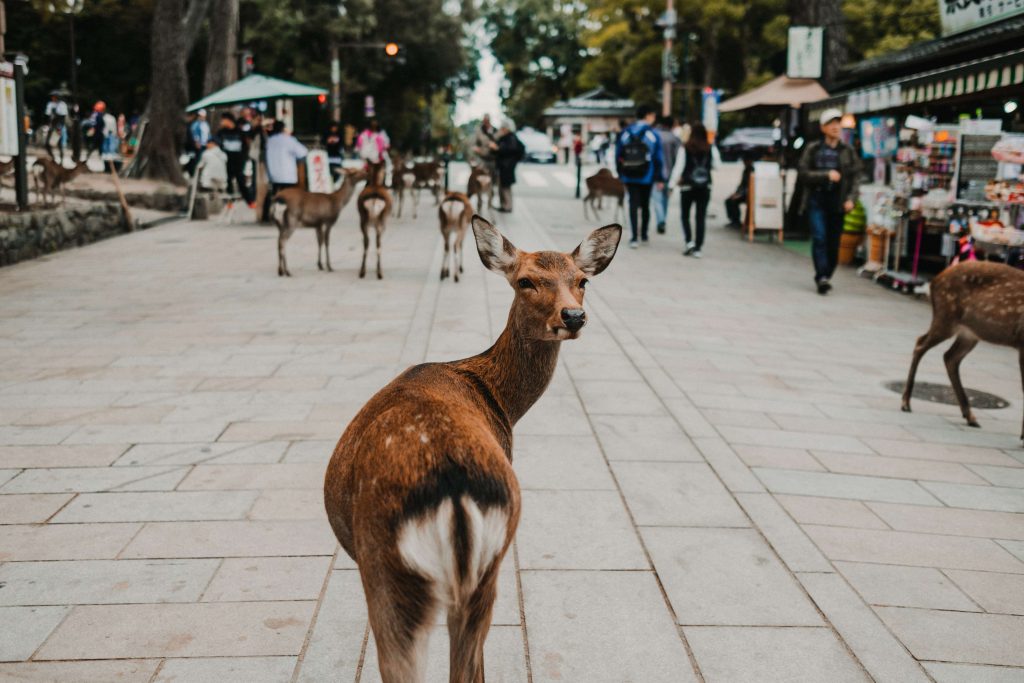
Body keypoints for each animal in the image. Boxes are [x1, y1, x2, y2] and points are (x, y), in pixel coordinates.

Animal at [323, 216, 618, 679]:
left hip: (388, 574)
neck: (501, 400)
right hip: (483, 572)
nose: (574, 315)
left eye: (582, 280)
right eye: (526, 280)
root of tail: (455, 495)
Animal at [905, 259, 1024, 446]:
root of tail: (935, 280)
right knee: (920, 344)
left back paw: (970, 416)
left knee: (950, 356)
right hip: (946, 317)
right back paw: (906, 403)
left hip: (969, 333)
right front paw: (1022, 436)